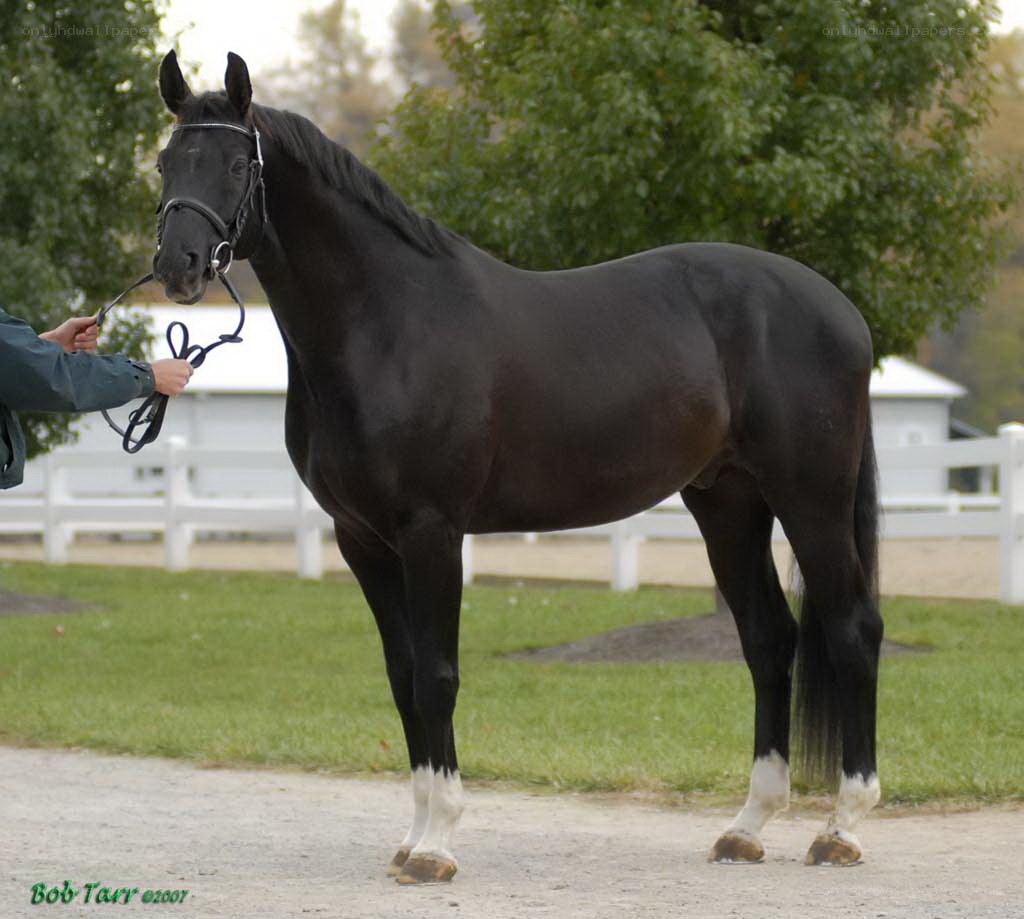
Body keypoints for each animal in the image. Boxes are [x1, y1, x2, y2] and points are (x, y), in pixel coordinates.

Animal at [151, 50, 882, 883]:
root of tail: (840, 309)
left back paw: (843, 826)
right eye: (167, 160)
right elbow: (403, 677)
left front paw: (438, 842)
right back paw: (748, 825)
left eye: (237, 163)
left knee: (853, 629)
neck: (387, 322)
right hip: (728, 504)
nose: (176, 264)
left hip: (811, 498)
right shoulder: (361, 537)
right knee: (769, 640)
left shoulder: (432, 530)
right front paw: (413, 834)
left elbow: (437, 675)